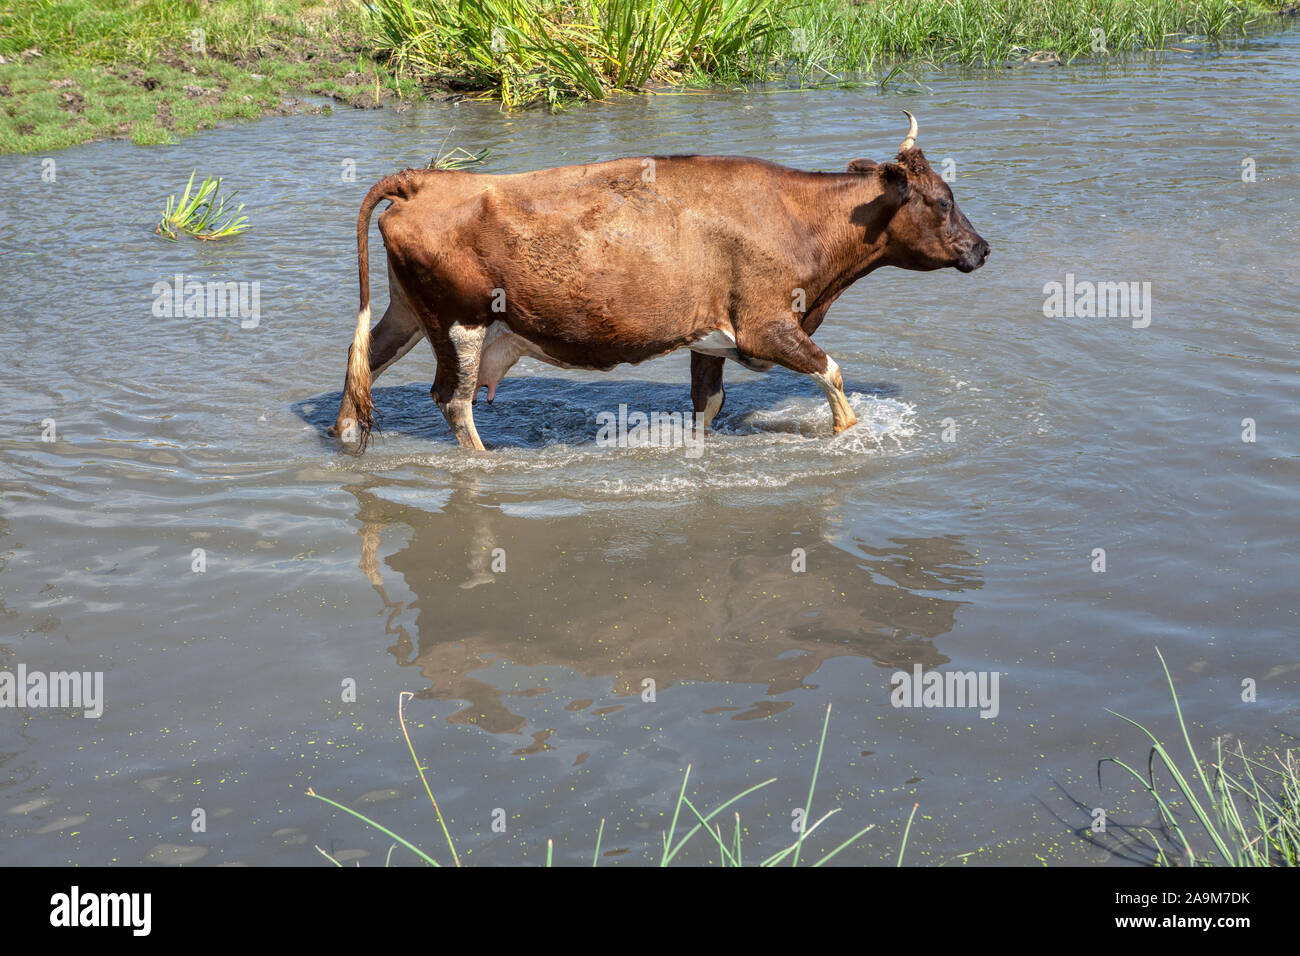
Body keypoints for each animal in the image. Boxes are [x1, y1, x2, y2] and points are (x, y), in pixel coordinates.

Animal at [332, 112, 988, 451]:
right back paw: (484, 460)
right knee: (452, 400)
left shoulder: (712, 336)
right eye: (942, 200)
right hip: (460, 322)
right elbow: (833, 375)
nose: (982, 249)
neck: (802, 221)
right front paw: (847, 437)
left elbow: (708, 404)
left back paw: (345, 437)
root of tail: (426, 179)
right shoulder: (766, 325)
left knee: (363, 359)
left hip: (408, 314)